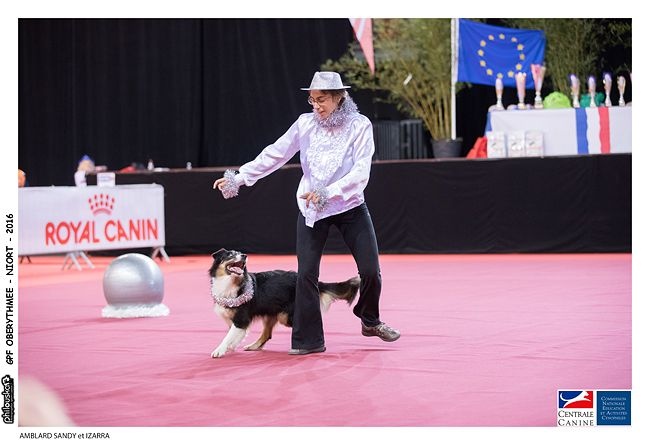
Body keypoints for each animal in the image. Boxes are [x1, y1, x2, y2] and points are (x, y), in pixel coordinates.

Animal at [208, 248, 360, 356]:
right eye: (230, 255)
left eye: (240, 254)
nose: (245, 255)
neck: (230, 282)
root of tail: (314, 283)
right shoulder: (232, 318)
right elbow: (234, 334)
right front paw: (231, 346)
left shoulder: (242, 318)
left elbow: (228, 336)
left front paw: (219, 350)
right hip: (273, 312)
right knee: (267, 334)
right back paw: (253, 346)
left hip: (286, 315)